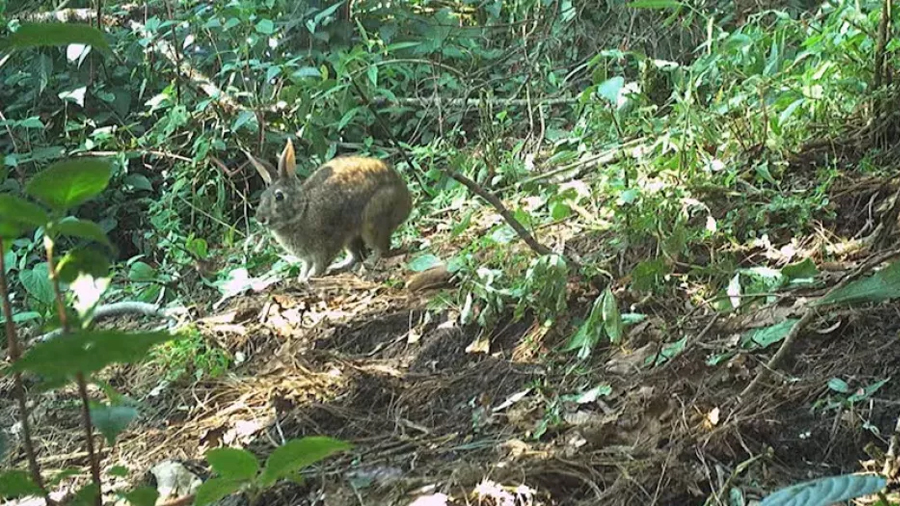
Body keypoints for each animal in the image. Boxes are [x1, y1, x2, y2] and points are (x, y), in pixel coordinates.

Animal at [246, 138, 412, 282]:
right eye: (262, 197)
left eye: (279, 196)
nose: (260, 219)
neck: (303, 211)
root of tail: (406, 201)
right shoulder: (308, 257)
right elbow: (306, 266)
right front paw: (302, 277)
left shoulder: (324, 246)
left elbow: (320, 264)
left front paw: (310, 277)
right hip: (351, 237)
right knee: (357, 254)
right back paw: (339, 266)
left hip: (373, 218)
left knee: (381, 247)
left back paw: (369, 262)